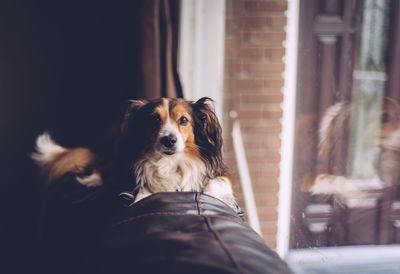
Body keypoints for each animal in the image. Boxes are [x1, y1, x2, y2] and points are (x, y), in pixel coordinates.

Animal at [32, 96, 238, 208]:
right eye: (155, 119)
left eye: (184, 120)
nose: (169, 140)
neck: (171, 162)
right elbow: (144, 194)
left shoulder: (220, 175)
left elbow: (216, 183)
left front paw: (219, 200)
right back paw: (91, 180)